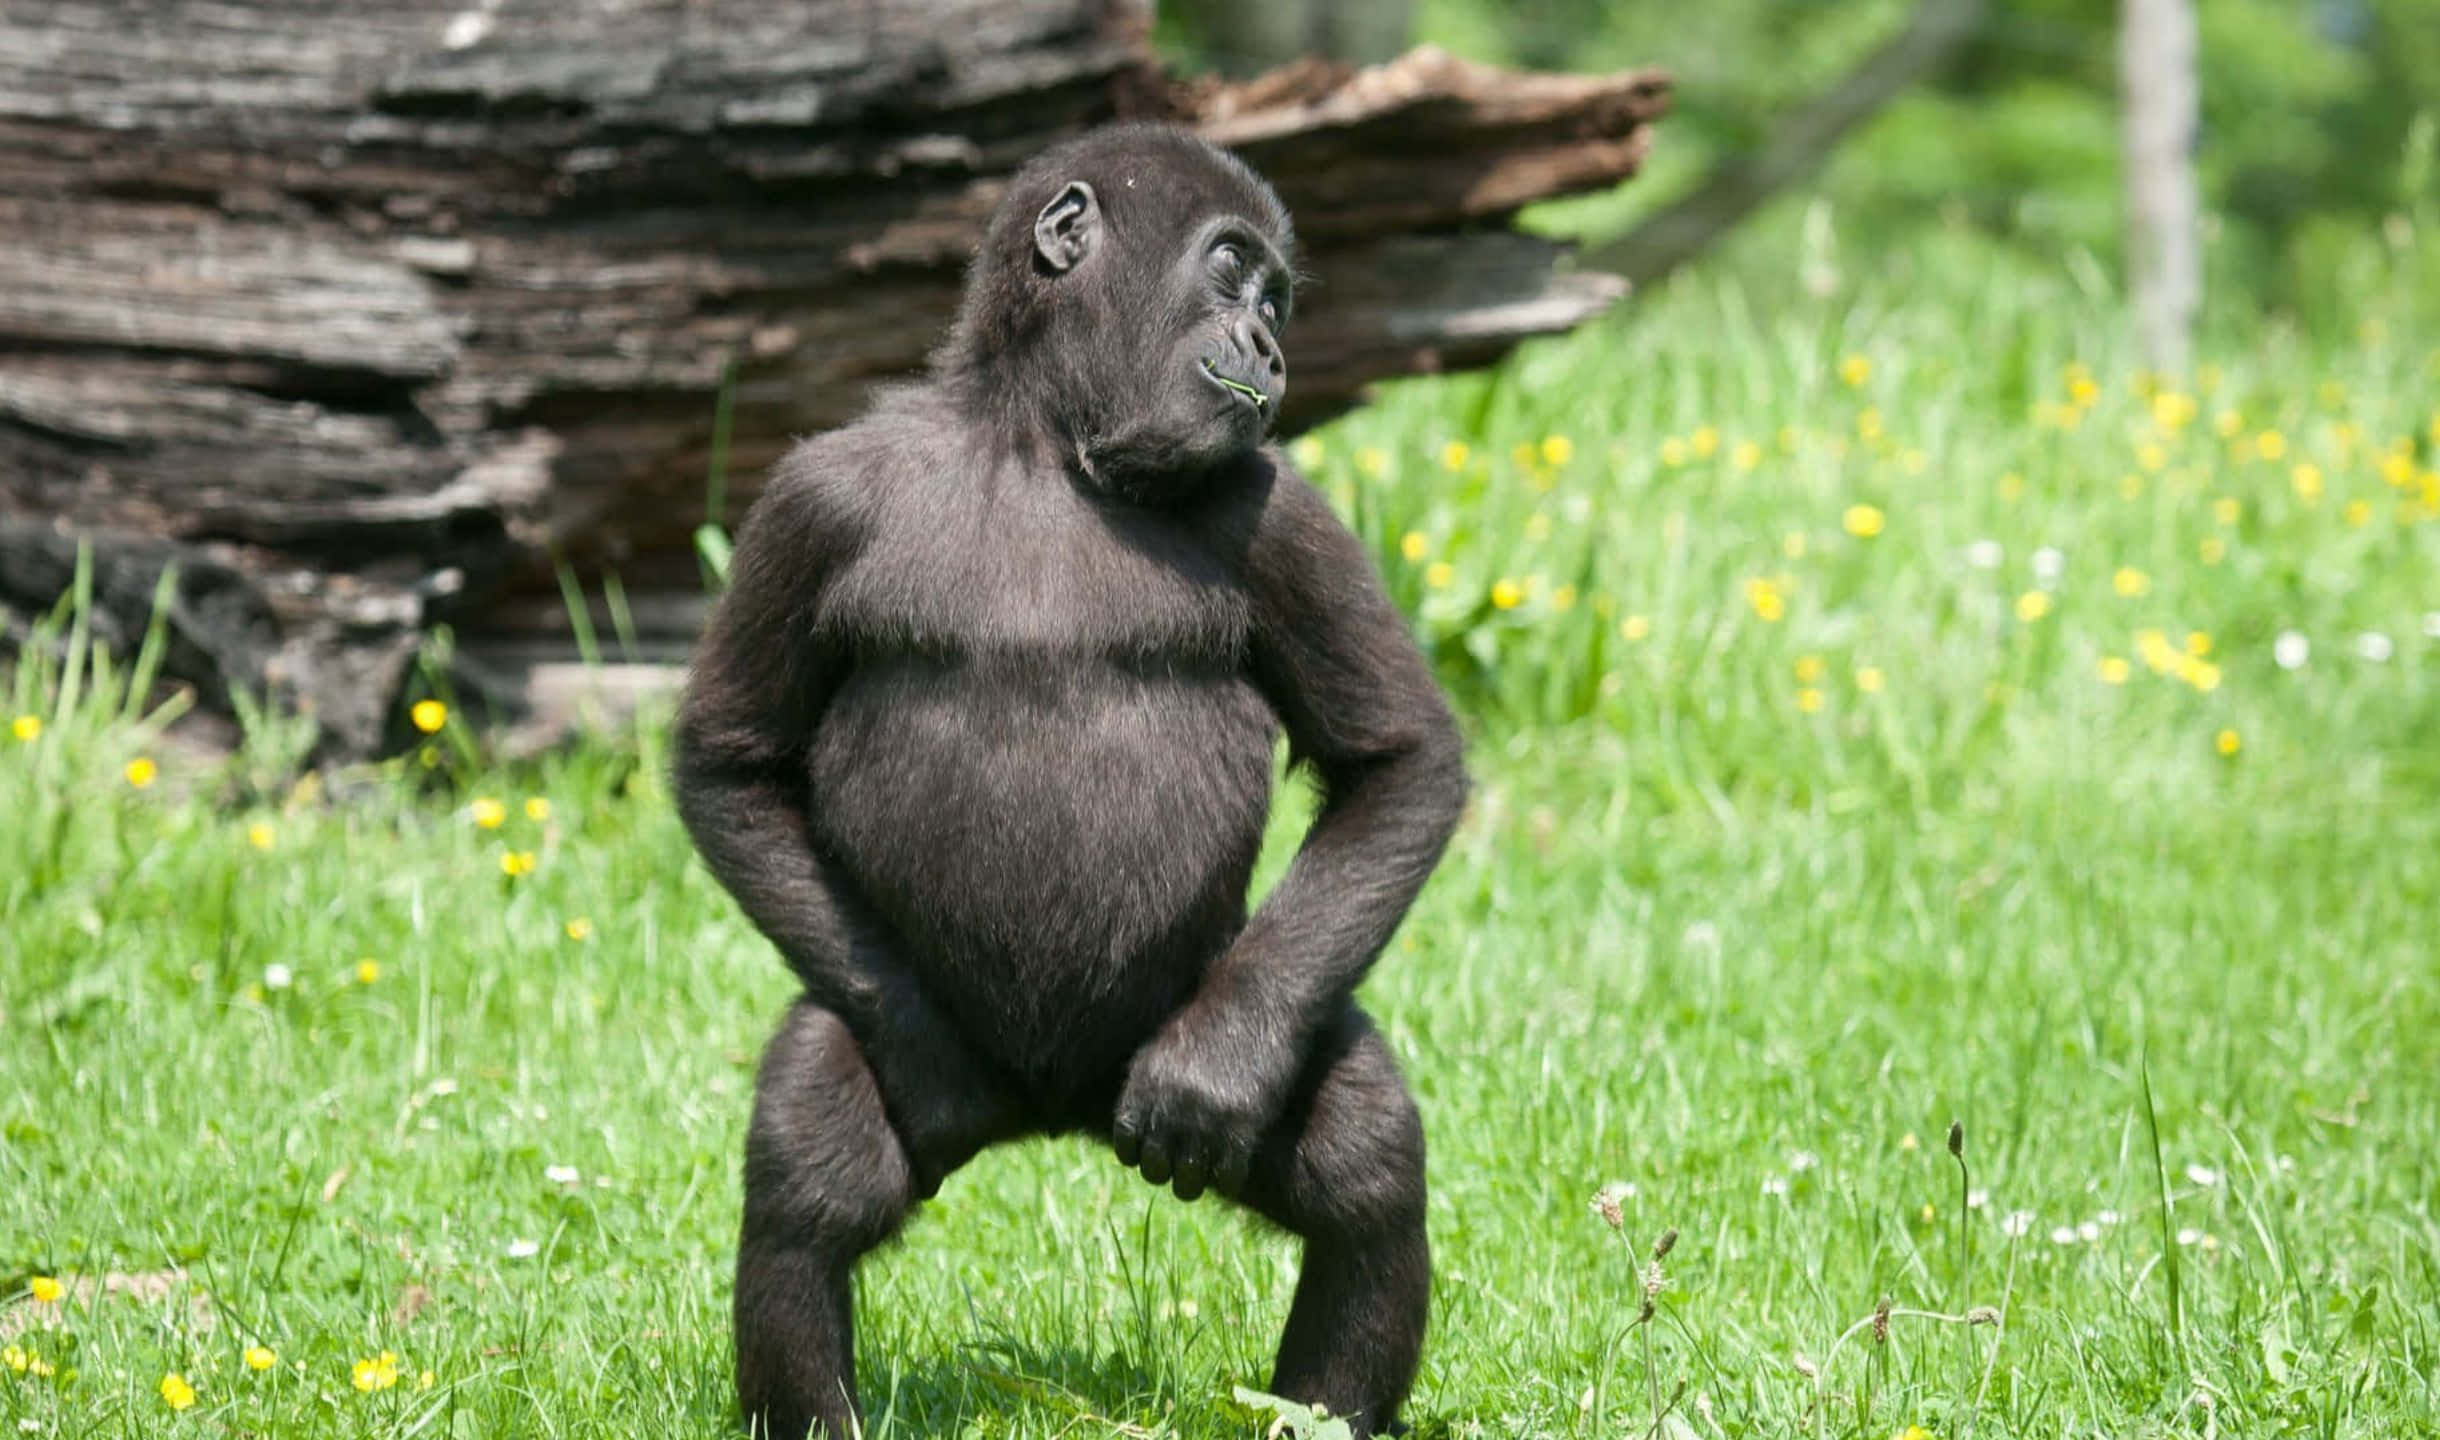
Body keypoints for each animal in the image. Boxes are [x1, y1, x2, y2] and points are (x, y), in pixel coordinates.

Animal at [672, 123, 1468, 1440]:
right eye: (1232, 271)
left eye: (1277, 302)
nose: (1270, 348)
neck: (1047, 441)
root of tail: (1051, 1111)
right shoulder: (811, 500)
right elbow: (730, 762)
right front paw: (926, 1067)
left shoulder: (1281, 507)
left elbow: (1396, 763)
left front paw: (1214, 1074)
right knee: (807, 1161)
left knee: (1360, 1154)